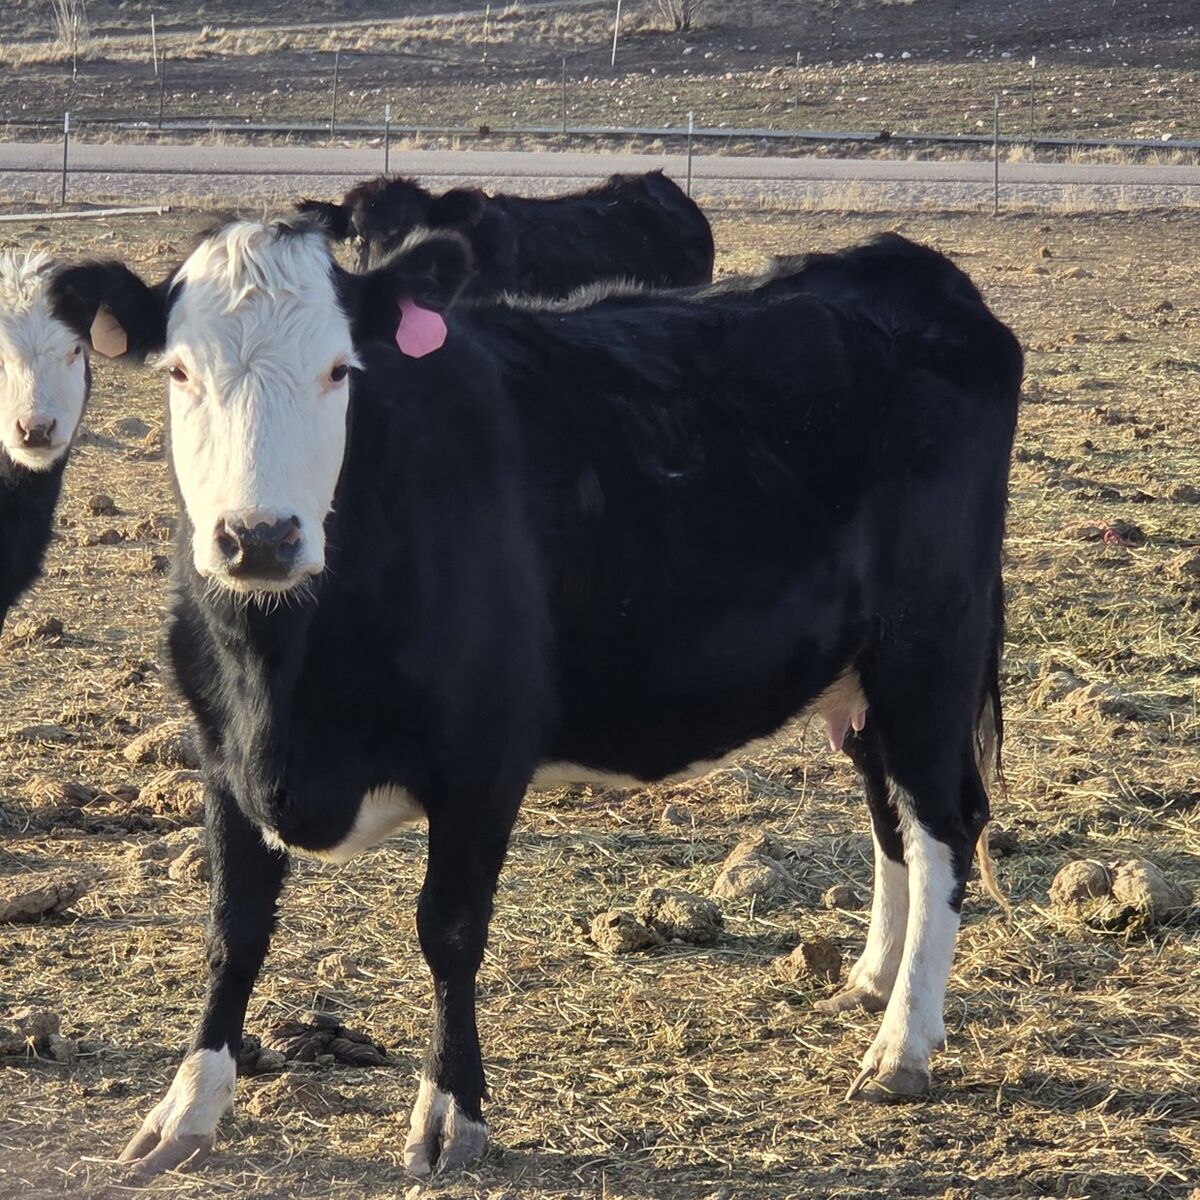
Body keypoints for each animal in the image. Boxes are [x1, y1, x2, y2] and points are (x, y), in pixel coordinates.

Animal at [51, 219, 1022, 1180]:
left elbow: (447, 930)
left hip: (929, 649)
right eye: (180, 371)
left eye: (339, 370)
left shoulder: (484, 756)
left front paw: (448, 1114)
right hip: (861, 679)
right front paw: (183, 1110)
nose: (259, 538)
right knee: (890, 814)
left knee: (945, 823)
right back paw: (870, 981)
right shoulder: (221, 751)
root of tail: (911, 268)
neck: (284, 683)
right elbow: (234, 930)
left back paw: (903, 1044)